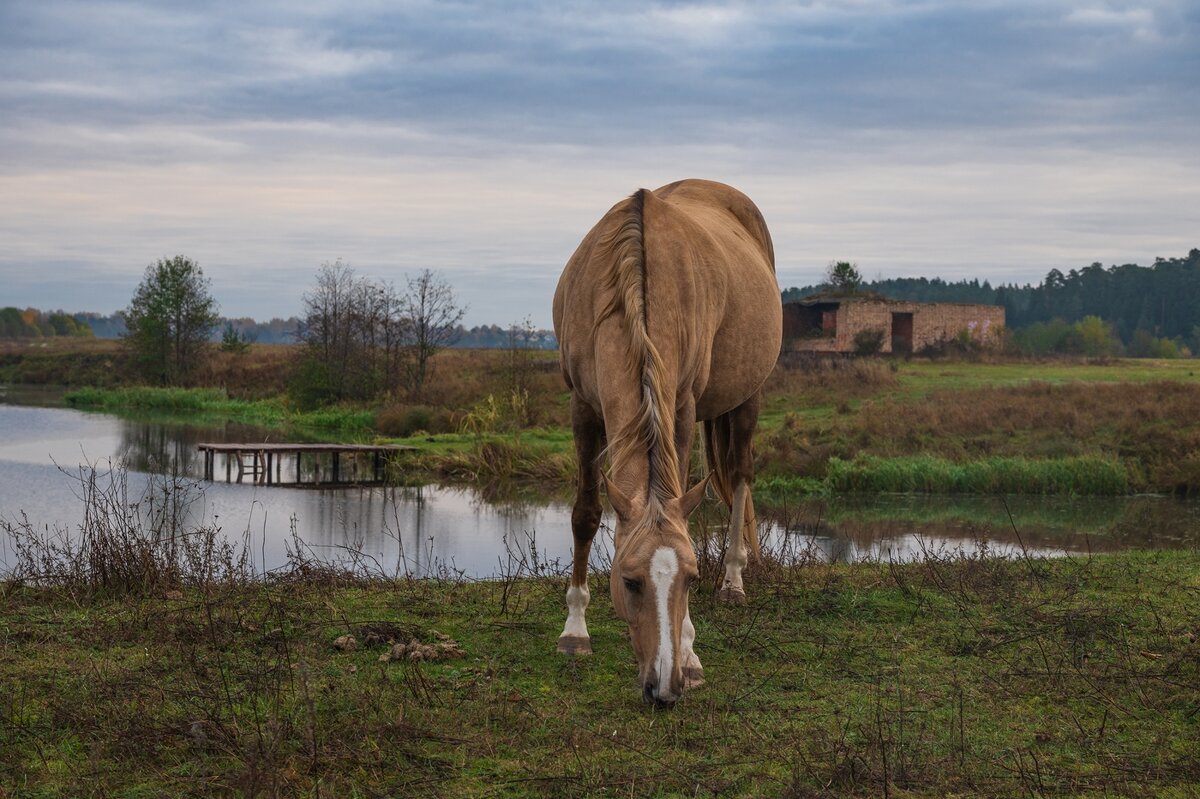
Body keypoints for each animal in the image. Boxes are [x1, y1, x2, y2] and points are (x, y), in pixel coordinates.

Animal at [549, 178, 782, 705]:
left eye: (691, 579)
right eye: (629, 581)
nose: (665, 686)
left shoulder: (681, 404)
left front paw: (692, 655)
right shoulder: (582, 405)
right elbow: (585, 515)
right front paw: (575, 629)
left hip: (749, 395)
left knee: (740, 476)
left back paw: (734, 580)